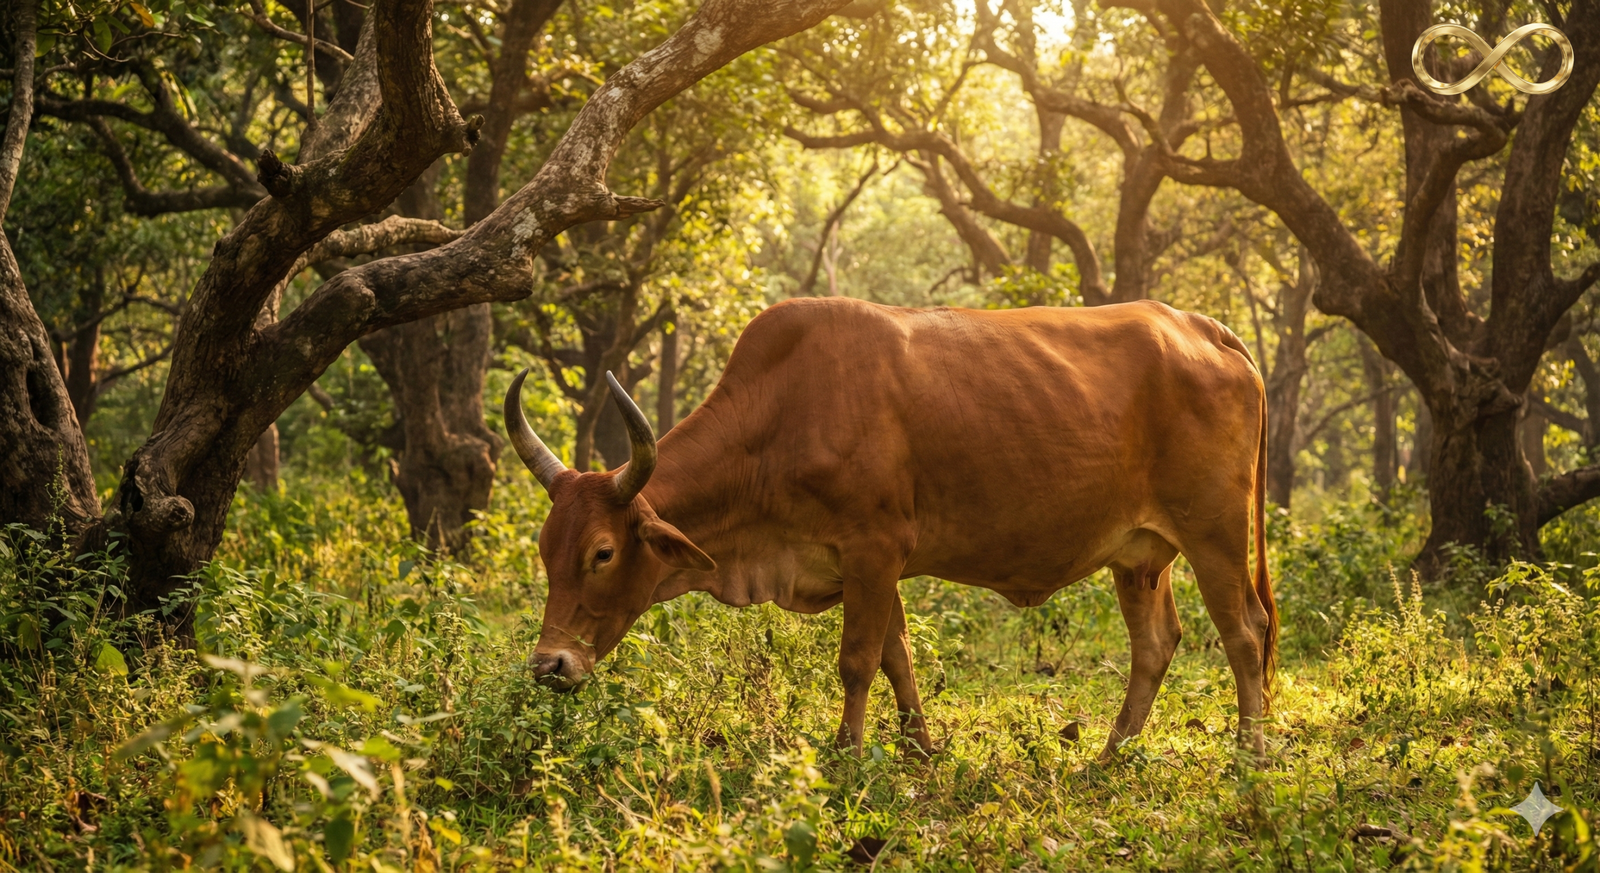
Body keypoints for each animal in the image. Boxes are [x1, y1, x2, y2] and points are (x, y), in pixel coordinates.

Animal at [504, 297, 1276, 760]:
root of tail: (1202, 328)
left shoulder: (873, 549)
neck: (781, 414)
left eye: (603, 553)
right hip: (1140, 555)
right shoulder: (874, 564)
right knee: (1158, 643)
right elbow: (896, 655)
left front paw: (846, 752)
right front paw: (919, 748)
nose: (550, 666)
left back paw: (1250, 750)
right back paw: (1112, 753)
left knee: (1245, 631)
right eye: (545, 552)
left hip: (1214, 532)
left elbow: (855, 659)